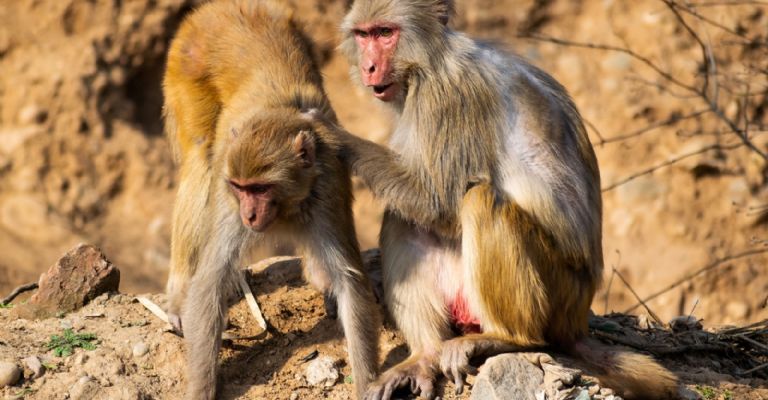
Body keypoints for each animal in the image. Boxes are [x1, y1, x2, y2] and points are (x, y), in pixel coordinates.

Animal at [161, 1, 379, 398]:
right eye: (241, 187)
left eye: (260, 189)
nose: (249, 215)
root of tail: (217, 9)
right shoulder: (229, 194)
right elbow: (210, 279)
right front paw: (201, 387)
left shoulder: (326, 186)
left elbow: (349, 280)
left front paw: (368, 381)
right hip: (185, 64)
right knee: (200, 160)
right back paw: (179, 291)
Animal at [324, 0, 681, 399]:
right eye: (363, 35)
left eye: (386, 33)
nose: (369, 66)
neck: (431, 59)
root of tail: (577, 320)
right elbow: (424, 206)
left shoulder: (450, 97)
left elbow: (436, 201)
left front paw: (327, 133)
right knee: (403, 218)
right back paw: (426, 355)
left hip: (557, 294)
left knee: (478, 201)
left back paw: (510, 338)